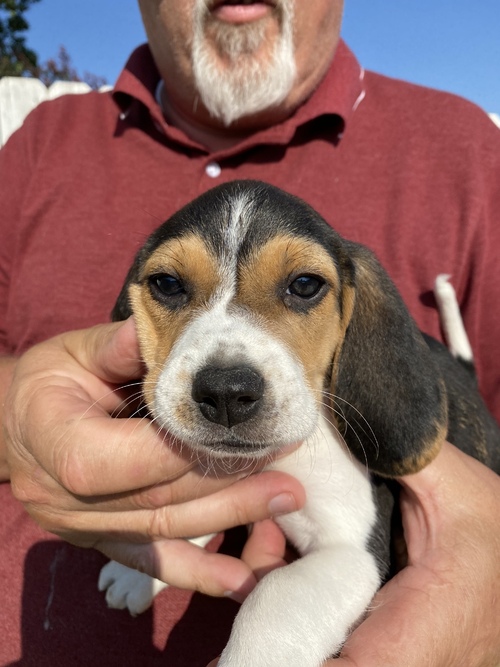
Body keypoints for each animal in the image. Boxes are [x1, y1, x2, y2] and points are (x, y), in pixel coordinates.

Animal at [98, 180, 500, 664]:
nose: (226, 392)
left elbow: (276, 594)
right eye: (167, 284)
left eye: (305, 285)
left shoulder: (351, 546)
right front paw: (138, 570)